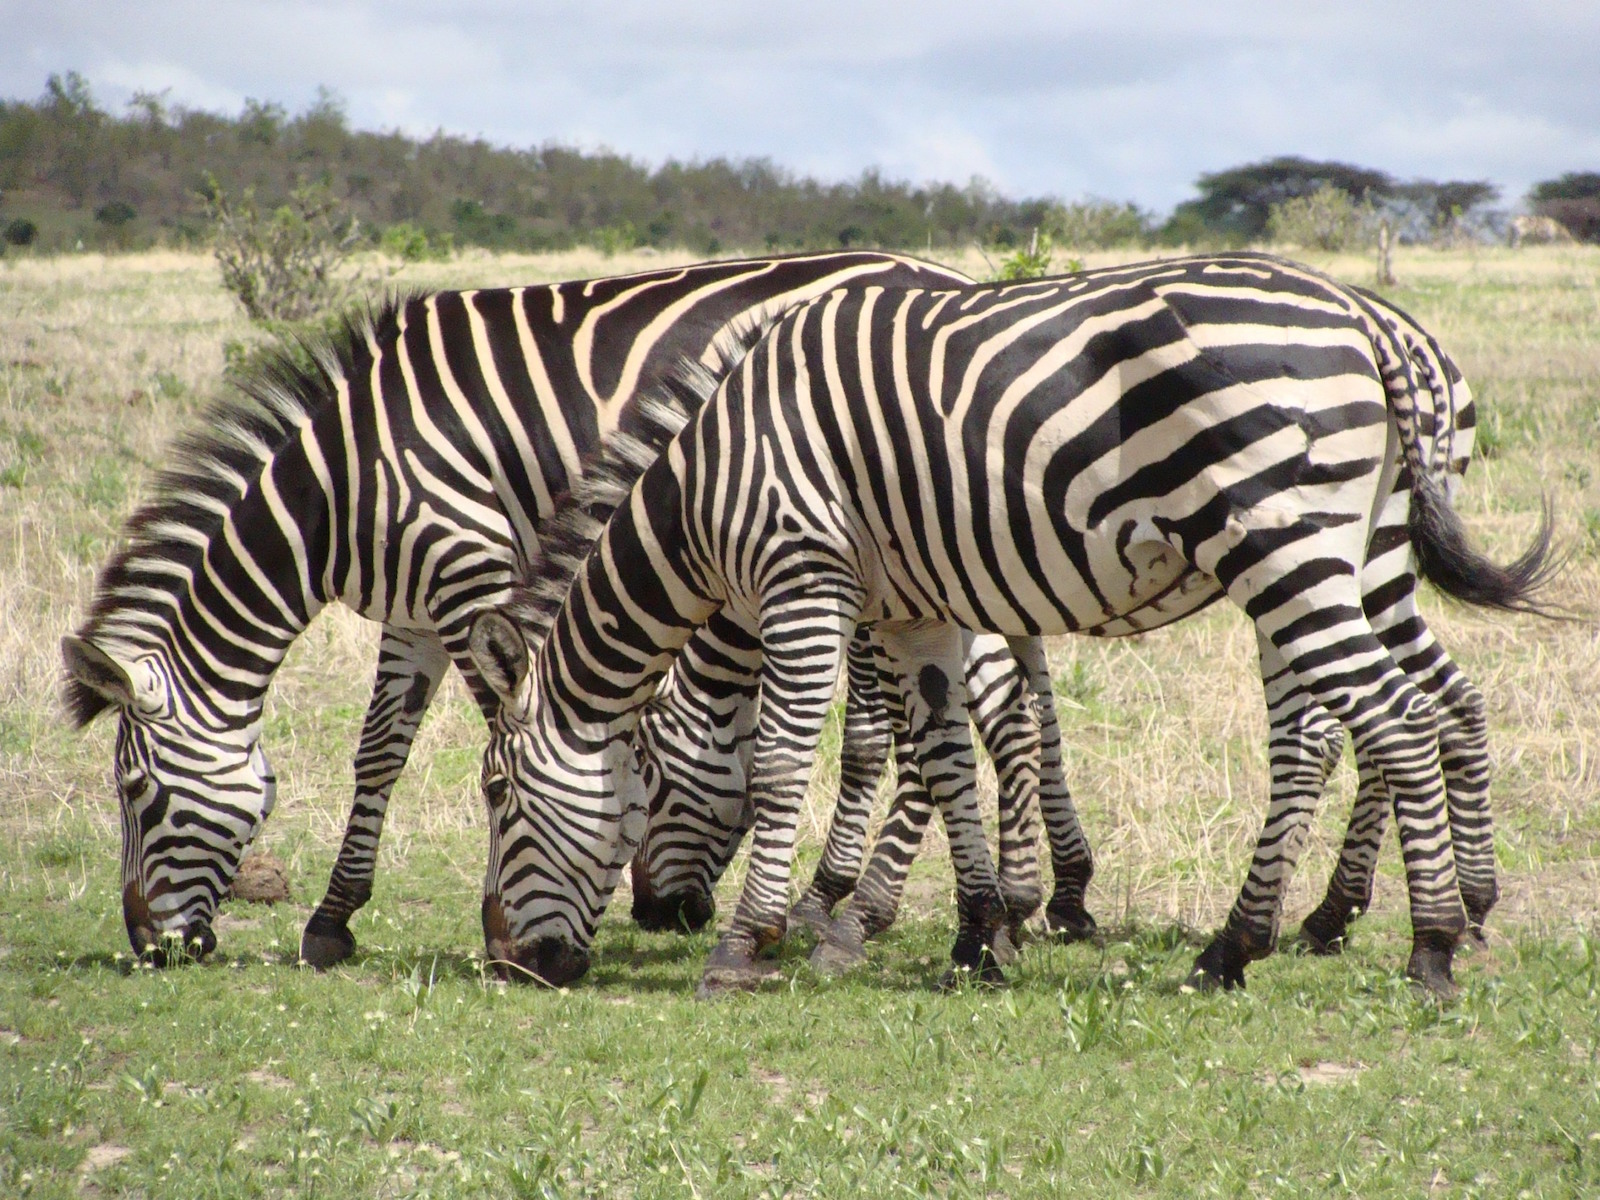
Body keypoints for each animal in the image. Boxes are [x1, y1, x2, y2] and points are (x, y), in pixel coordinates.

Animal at [58, 250, 979, 966]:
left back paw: (854, 912)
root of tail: (945, 273)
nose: (149, 949)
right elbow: (380, 752)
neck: (340, 488)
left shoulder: (473, 569)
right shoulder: (412, 611)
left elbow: (507, 728)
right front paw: (332, 920)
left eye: (135, 791)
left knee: (898, 731)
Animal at [464, 252, 1554, 997]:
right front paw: (978, 936)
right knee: (1384, 717)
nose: (507, 962)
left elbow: (789, 763)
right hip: (1351, 551)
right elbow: (947, 760)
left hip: (1287, 547)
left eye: (497, 795)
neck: (702, 487)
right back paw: (1249, 945)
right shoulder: (916, 610)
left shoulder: (803, 578)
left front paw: (750, 944)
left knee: (1389, 721)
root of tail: (1367, 321)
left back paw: (1428, 947)